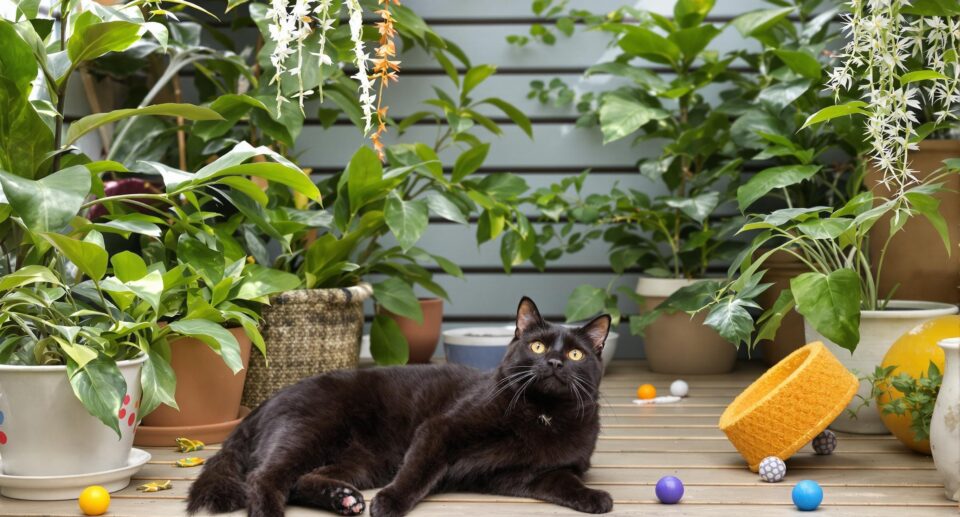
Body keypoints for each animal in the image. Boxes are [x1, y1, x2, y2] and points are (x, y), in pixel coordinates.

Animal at [188, 296, 612, 512]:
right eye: (537, 346)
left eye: (575, 355)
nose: (554, 363)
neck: (543, 414)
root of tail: (266, 403)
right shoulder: (439, 430)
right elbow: (418, 472)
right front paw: (390, 502)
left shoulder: (524, 474)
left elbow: (564, 483)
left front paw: (596, 499)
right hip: (308, 431)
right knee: (265, 478)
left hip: (361, 460)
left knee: (301, 480)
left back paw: (344, 499)